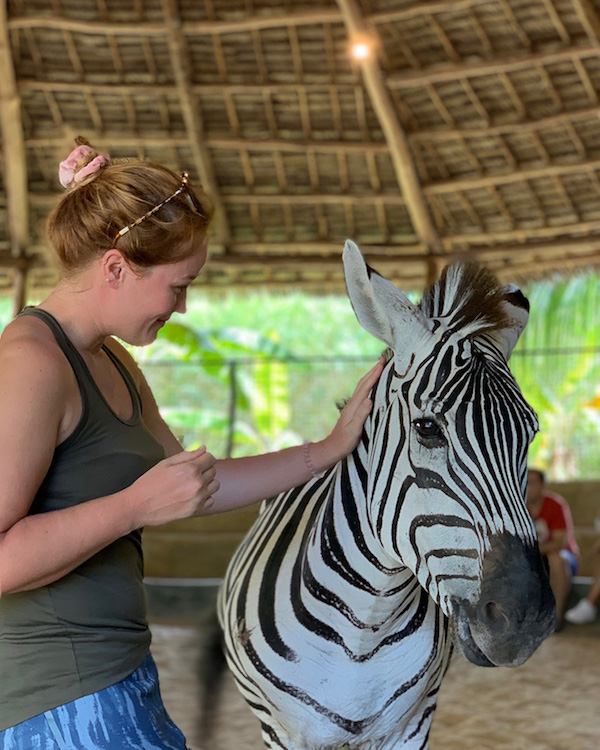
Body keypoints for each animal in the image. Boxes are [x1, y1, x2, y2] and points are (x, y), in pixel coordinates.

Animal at [214, 242, 552, 750]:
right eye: (427, 428)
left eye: (529, 437)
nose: (526, 620)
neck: (366, 626)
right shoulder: (283, 732)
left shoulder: (413, 725)